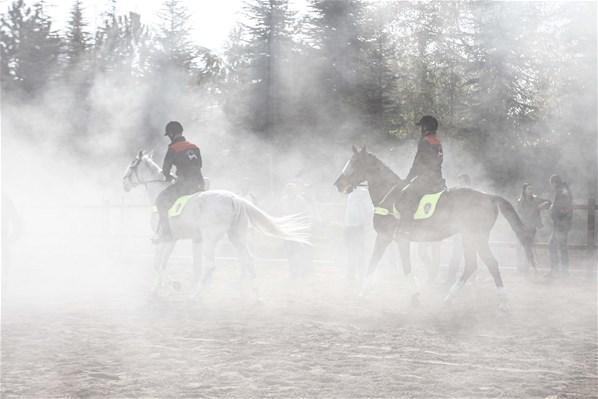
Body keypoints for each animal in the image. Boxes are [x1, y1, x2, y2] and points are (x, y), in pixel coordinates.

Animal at [122, 152, 314, 298]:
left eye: (131, 166)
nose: (124, 183)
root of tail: (235, 199)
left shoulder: (167, 240)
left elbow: (159, 263)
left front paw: (169, 285)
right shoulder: (178, 240)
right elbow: (160, 263)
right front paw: (159, 287)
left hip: (211, 238)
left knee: (211, 265)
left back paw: (196, 293)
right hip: (237, 236)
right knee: (248, 260)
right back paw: (255, 294)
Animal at [336, 145, 536, 308]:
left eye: (354, 163)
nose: (338, 184)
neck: (389, 195)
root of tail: (488, 196)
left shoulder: (400, 239)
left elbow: (406, 267)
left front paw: (415, 296)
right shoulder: (384, 238)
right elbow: (372, 263)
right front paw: (362, 293)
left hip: (475, 236)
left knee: (491, 263)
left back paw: (503, 301)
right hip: (468, 237)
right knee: (471, 265)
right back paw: (449, 298)